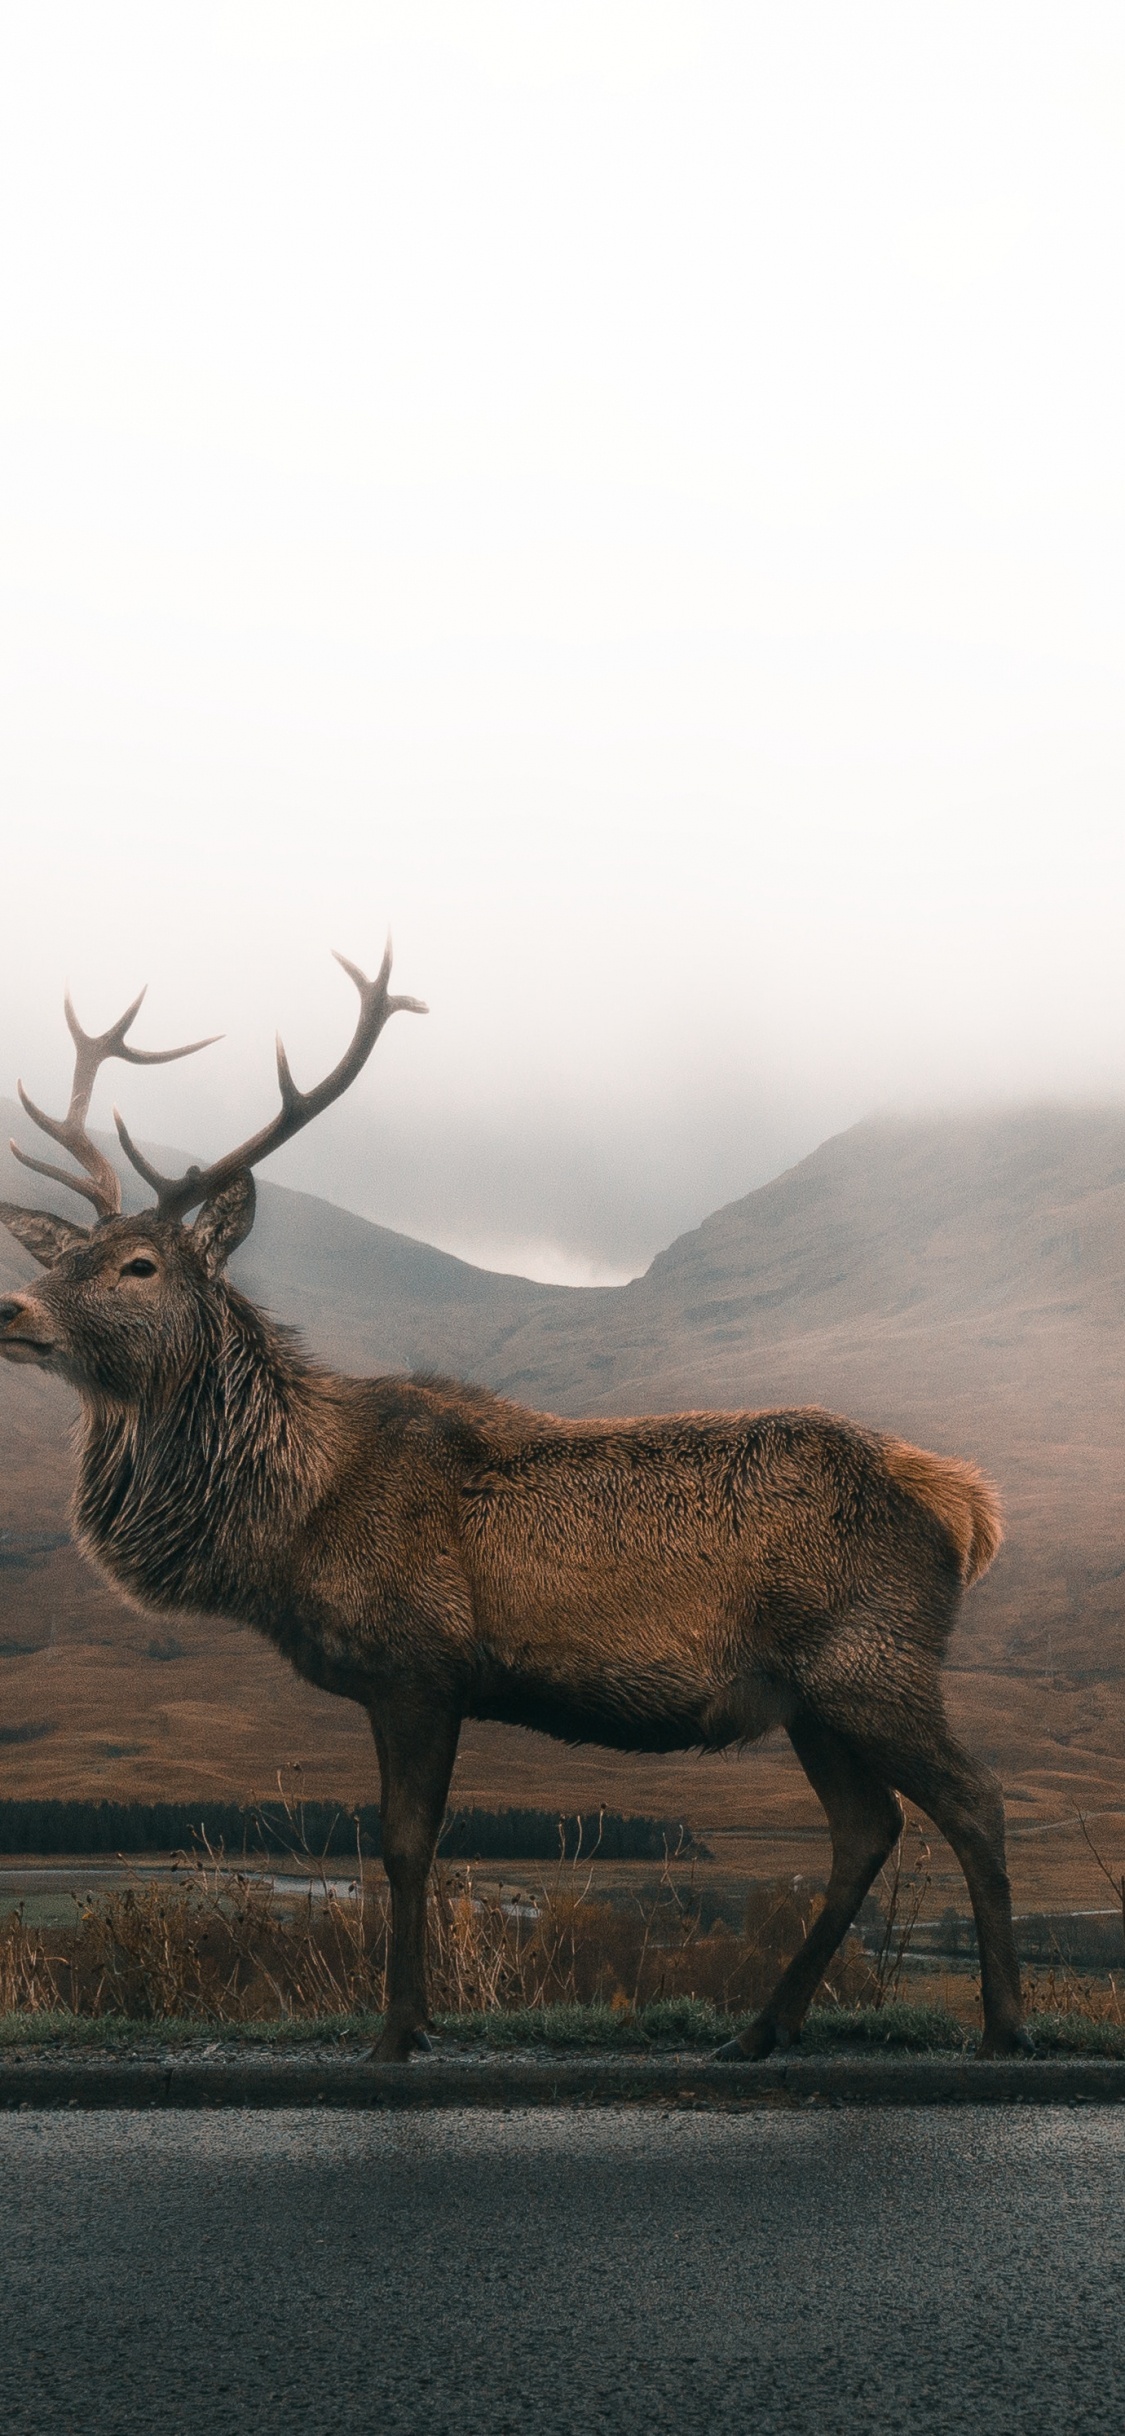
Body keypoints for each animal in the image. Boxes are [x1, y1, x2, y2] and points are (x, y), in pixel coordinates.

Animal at [0, 950, 1030, 2061]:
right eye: (54, 1258)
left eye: (139, 1265)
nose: (12, 1308)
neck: (289, 1523)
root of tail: (966, 1507)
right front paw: (415, 2018)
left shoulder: (420, 1661)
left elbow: (406, 1847)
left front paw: (396, 2031)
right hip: (808, 1694)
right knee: (866, 1828)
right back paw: (759, 2030)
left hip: (873, 1660)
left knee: (972, 1798)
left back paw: (1003, 2025)